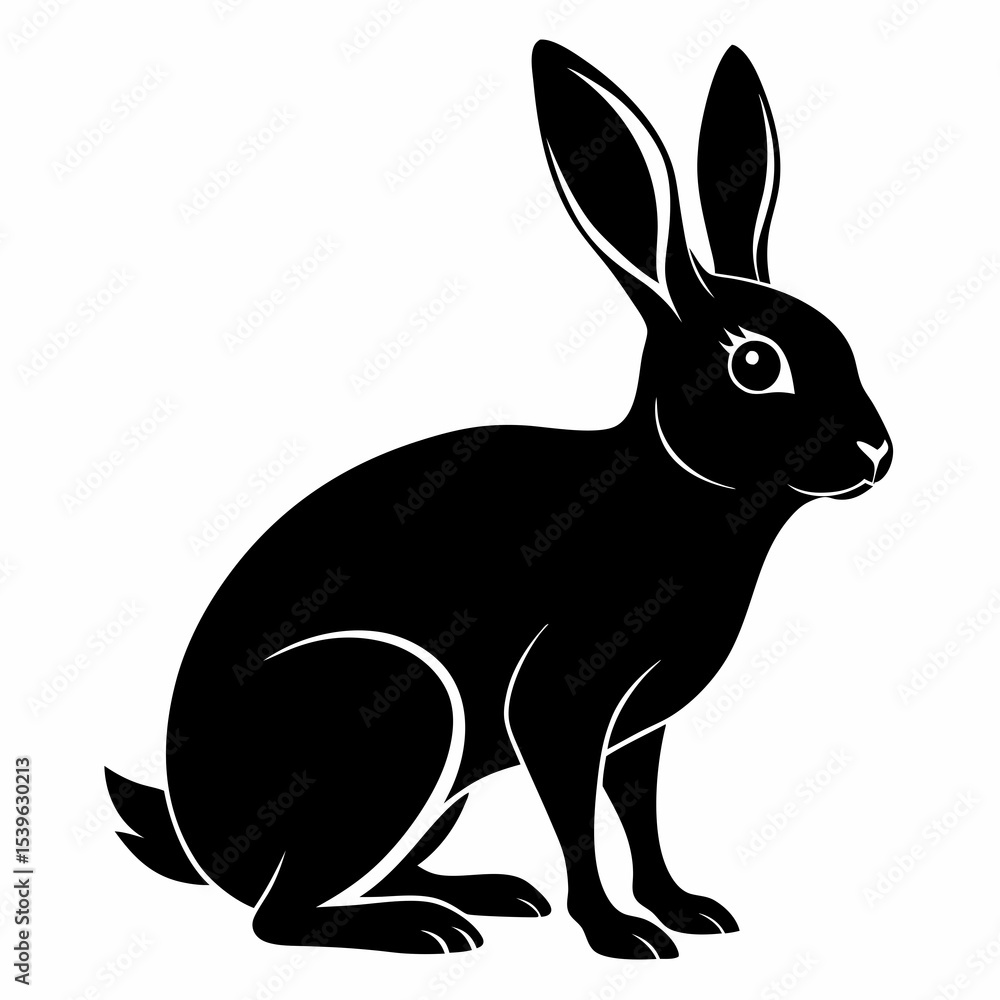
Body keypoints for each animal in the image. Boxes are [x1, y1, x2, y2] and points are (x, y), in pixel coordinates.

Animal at [107, 40, 891, 960]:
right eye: (757, 364)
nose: (876, 454)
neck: (680, 492)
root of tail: (201, 842)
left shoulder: (640, 730)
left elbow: (639, 816)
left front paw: (686, 910)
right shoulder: (559, 703)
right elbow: (579, 822)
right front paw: (621, 936)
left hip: (432, 794)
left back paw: (485, 894)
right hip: (394, 715)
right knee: (279, 917)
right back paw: (425, 929)